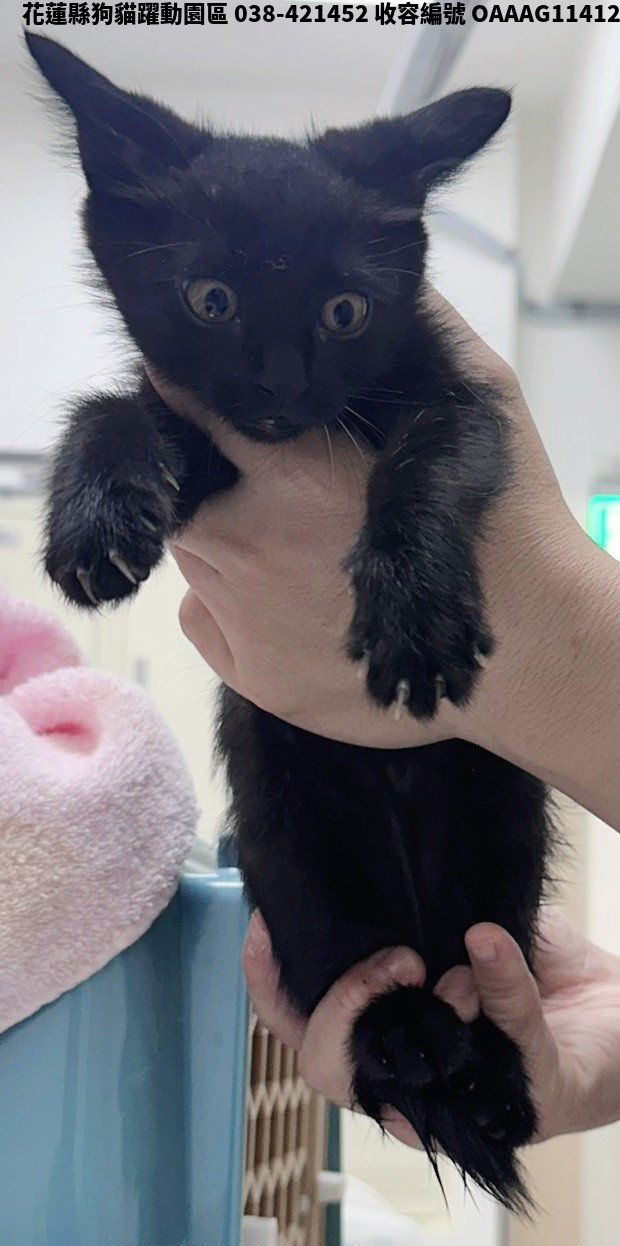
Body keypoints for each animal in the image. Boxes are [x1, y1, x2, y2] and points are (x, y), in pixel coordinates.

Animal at [26, 31, 551, 1211]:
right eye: (210, 299)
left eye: (344, 313)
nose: (275, 388)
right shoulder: (206, 436)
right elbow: (119, 406)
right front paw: (94, 516)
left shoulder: (468, 401)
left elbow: (428, 458)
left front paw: (412, 608)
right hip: (285, 831)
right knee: (346, 972)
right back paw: (408, 1037)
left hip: (504, 830)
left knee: (487, 959)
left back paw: (487, 1072)